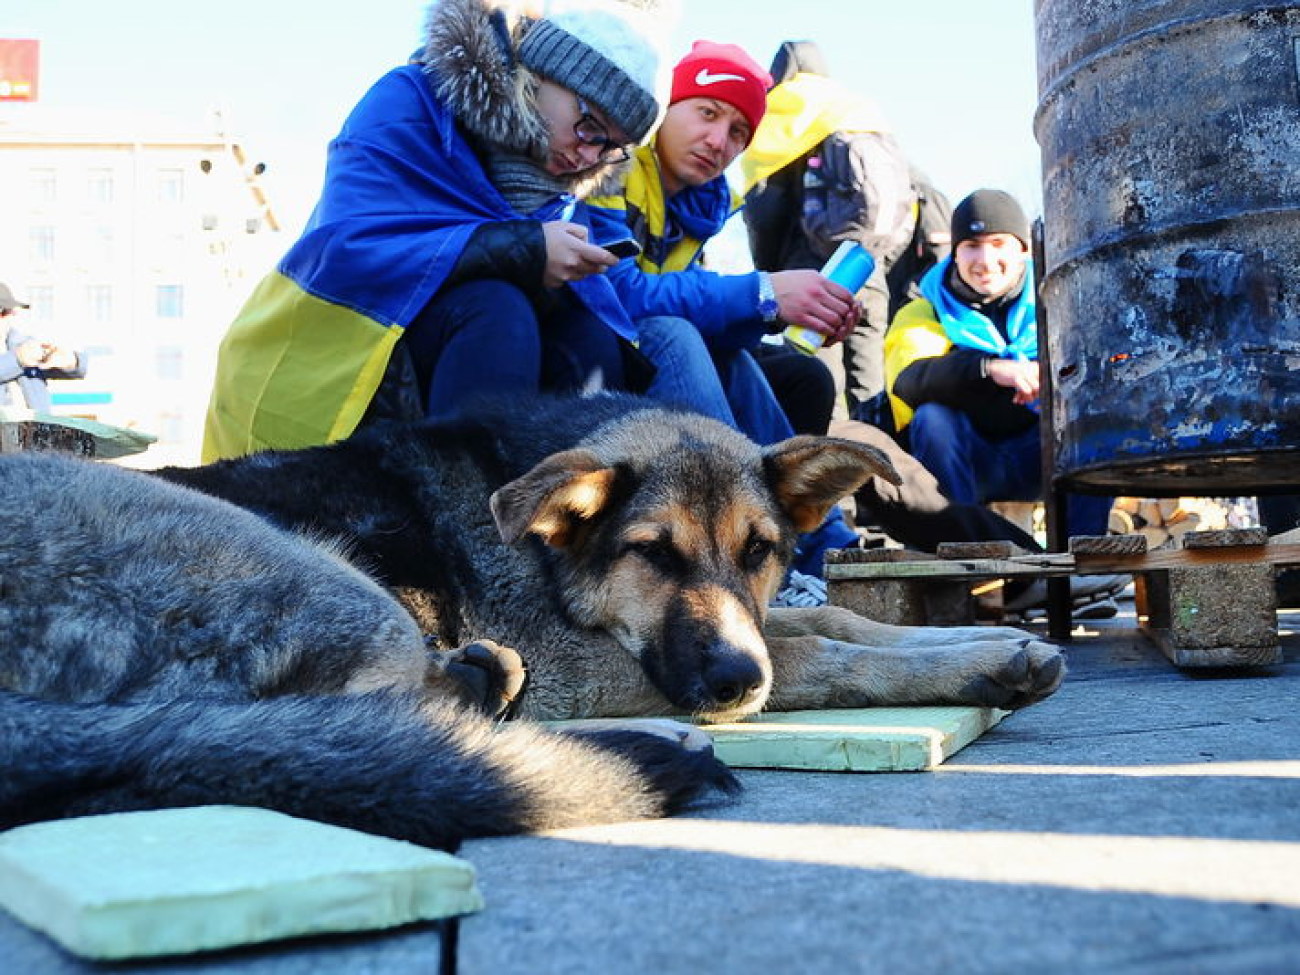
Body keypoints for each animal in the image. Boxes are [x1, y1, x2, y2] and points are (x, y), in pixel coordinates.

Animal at [0, 392, 1066, 852]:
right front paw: (968, 658)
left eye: (762, 550)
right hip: (329, 580)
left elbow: (833, 616)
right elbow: (819, 657)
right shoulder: (594, 663)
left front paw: (995, 646)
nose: (730, 686)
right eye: (652, 554)